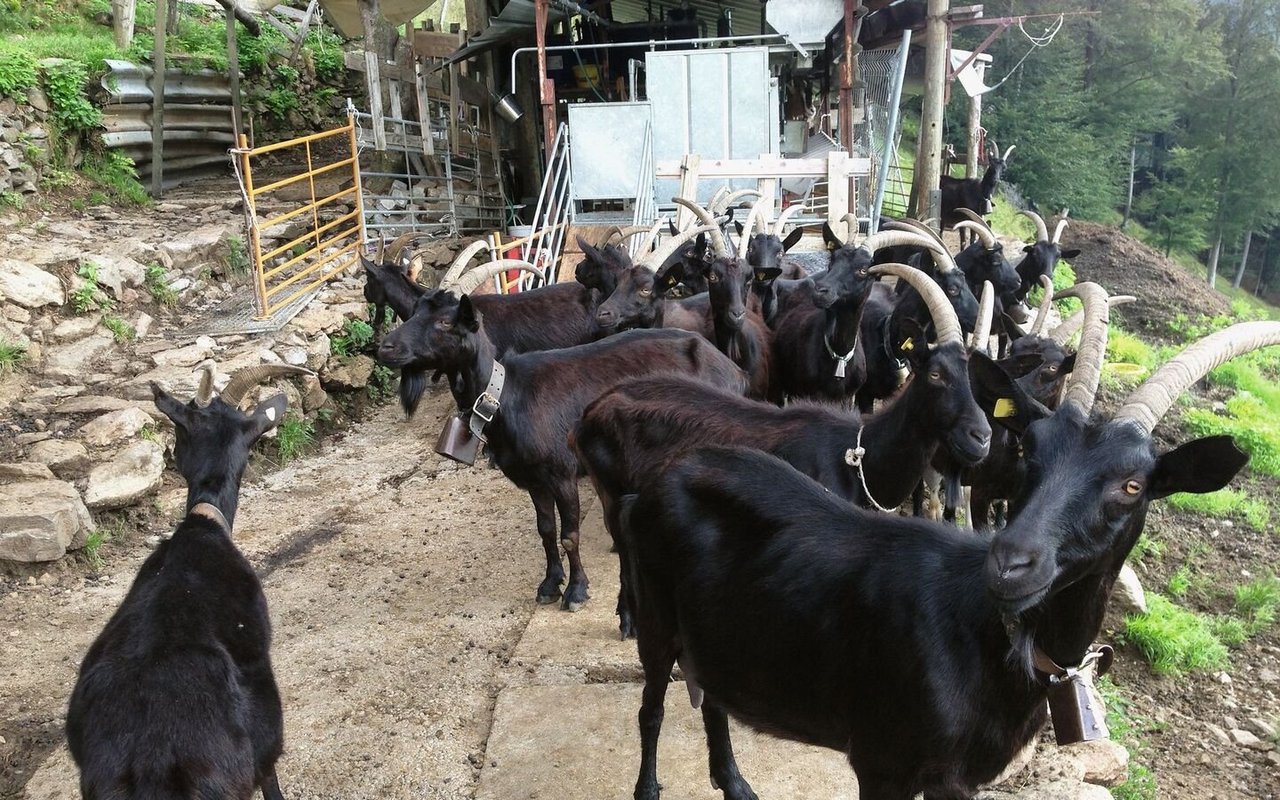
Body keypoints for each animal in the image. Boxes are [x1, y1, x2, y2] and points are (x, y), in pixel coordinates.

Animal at [373, 293, 747, 611]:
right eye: (414, 313)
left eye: (445, 323)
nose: (385, 347)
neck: (505, 395)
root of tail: (734, 371)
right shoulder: (533, 479)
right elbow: (546, 530)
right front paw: (550, 585)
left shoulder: (562, 472)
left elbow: (570, 535)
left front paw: (576, 591)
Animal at [616, 311, 1269, 798]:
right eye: (1030, 449)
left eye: (1133, 485)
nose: (1010, 563)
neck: (991, 639)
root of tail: (666, 478)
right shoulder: (882, 762)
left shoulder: (956, 781)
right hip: (654, 614)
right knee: (652, 706)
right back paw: (648, 788)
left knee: (712, 696)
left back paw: (734, 783)